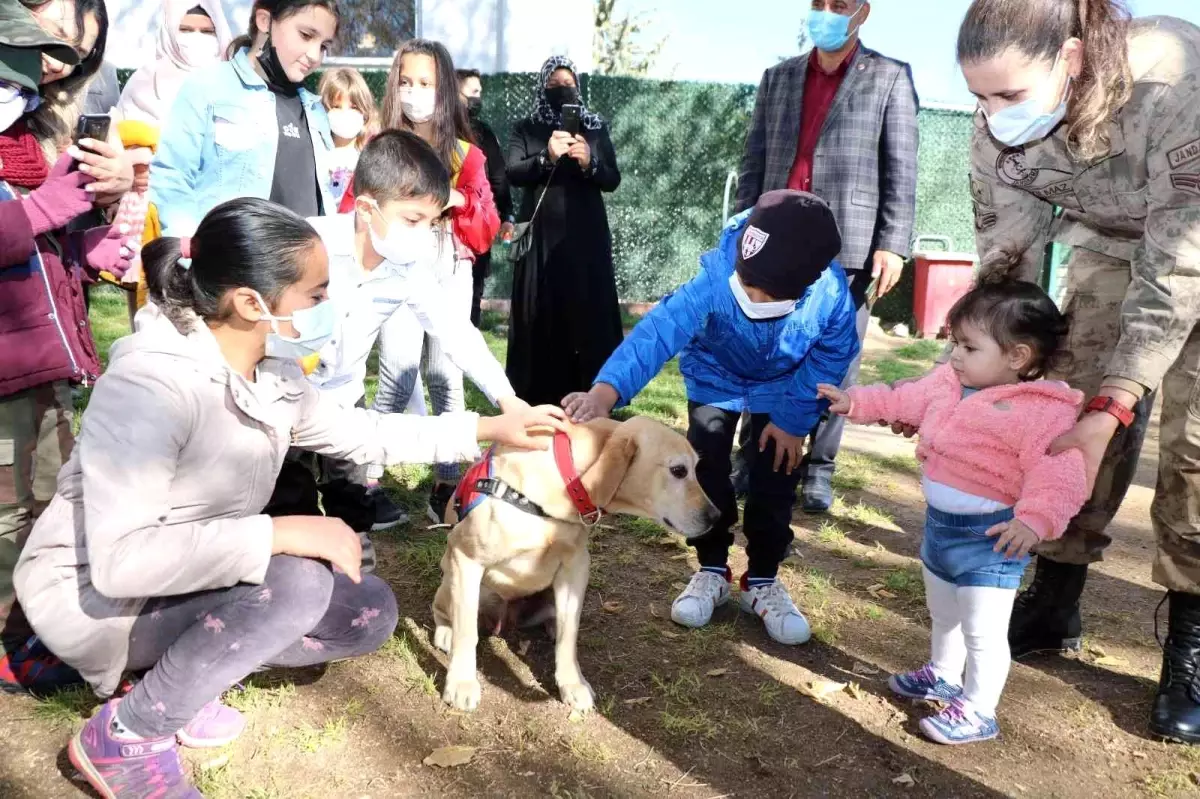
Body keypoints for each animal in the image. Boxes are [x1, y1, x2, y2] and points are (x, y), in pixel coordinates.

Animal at [432, 412, 715, 710]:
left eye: (695, 468)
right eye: (679, 470)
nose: (716, 516)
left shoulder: (575, 569)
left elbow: (569, 636)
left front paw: (572, 683)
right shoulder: (467, 558)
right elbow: (467, 632)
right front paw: (461, 682)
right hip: (454, 579)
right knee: (444, 610)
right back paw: (446, 632)